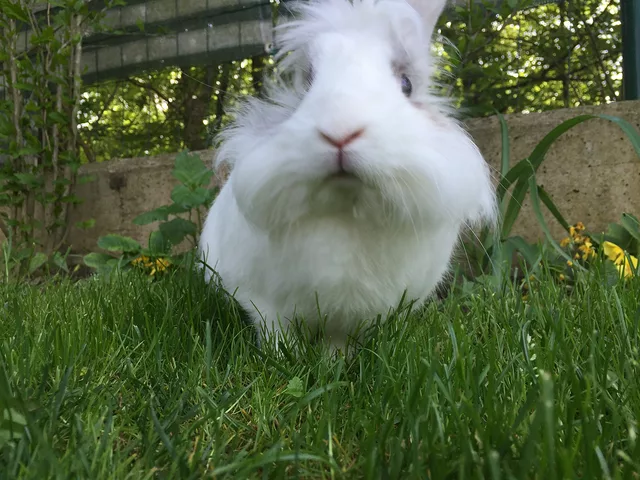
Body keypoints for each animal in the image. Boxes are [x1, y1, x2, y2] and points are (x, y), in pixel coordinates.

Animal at [199, 0, 497, 352]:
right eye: (307, 80)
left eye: (406, 84)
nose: (340, 132)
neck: (347, 209)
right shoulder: (265, 304)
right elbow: (276, 335)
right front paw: (283, 357)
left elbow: (337, 345)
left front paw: (334, 362)